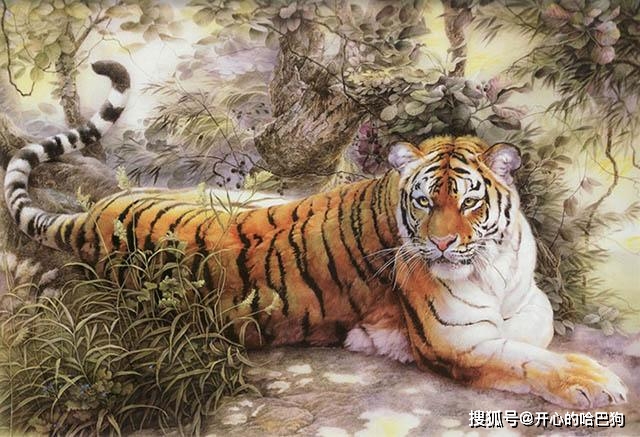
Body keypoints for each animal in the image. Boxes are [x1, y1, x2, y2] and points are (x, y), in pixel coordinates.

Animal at [3, 61, 627, 409]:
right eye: (425, 201)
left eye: (469, 201)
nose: (443, 245)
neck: (494, 265)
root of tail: (93, 219)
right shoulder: (458, 341)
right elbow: (530, 360)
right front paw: (597, 382)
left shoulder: (521, 303)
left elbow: (537, 329)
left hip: (250, 198)